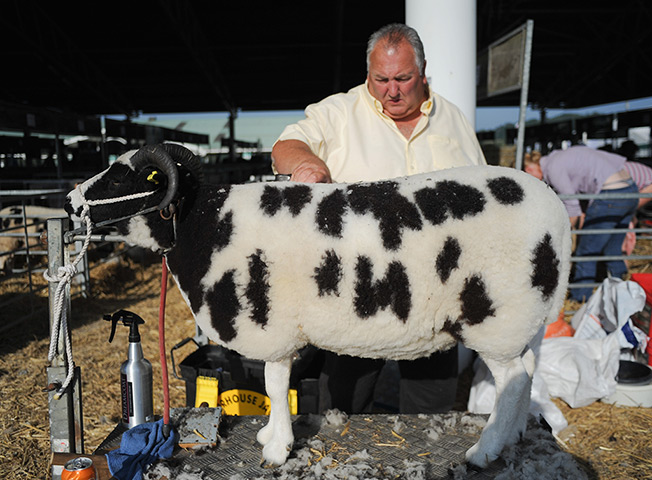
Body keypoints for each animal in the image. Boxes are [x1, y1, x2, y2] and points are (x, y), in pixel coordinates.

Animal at [65, 143, 571, 468]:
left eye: (123, 175)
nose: (69, 202)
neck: (204, 224)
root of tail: (559, 215)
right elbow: (276, 388)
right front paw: (271, 436)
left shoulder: (269, 328)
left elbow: (273, 386)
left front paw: (275, 449)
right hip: (520, 323)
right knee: (525, 374)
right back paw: (514, 437)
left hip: (496, 320)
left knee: (512, 380)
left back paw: (485, 452)